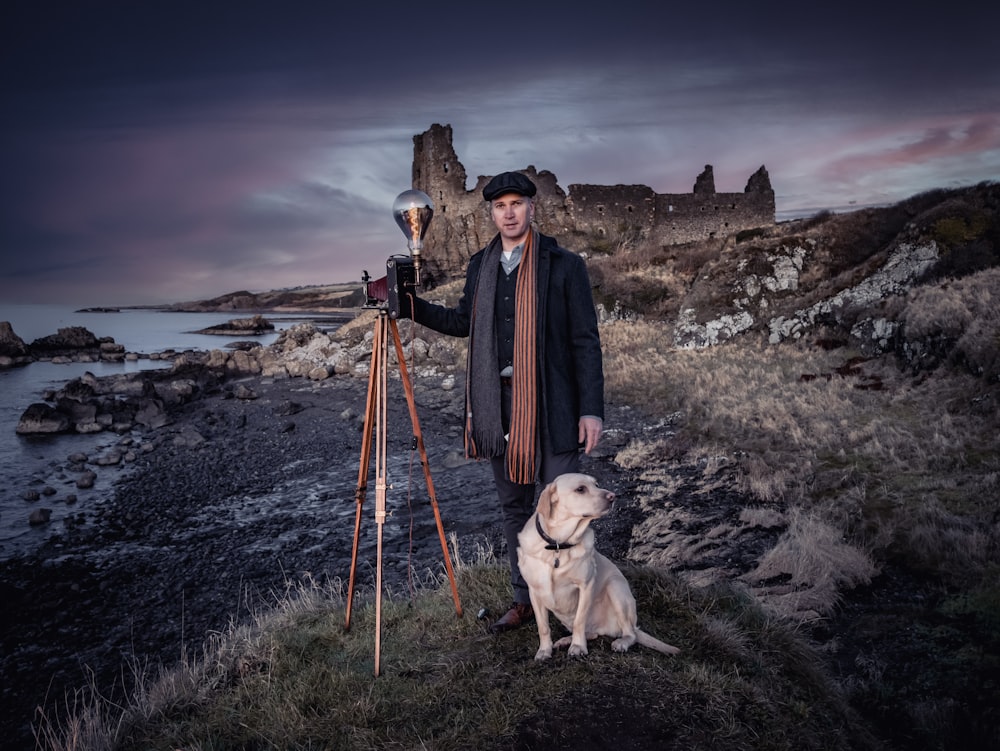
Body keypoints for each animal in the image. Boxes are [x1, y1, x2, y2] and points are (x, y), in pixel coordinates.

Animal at [516, 472, 680, 660]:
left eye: (596, 484)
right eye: (580, 489)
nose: (613, 496)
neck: (558, 544)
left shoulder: (586, 585)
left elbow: (580, 620)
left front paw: (578, 647)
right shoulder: (534, 591)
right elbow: (543, 626)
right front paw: (544, 650)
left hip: (616, 587)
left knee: (630, 633)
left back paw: (620, 642)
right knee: (593, 633)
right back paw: (565, 640)